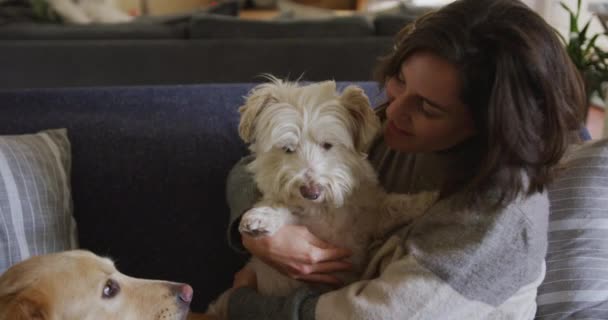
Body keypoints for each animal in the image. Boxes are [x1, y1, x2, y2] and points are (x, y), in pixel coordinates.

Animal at [207, 78, 434, 320]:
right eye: (288, 148)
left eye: (327, 145)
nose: (310, 191)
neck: (324, 208)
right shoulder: (300, 217)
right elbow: (280, 207)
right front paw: (260, 219)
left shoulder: (369, 216)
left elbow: (391, 206)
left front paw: (427, 199)